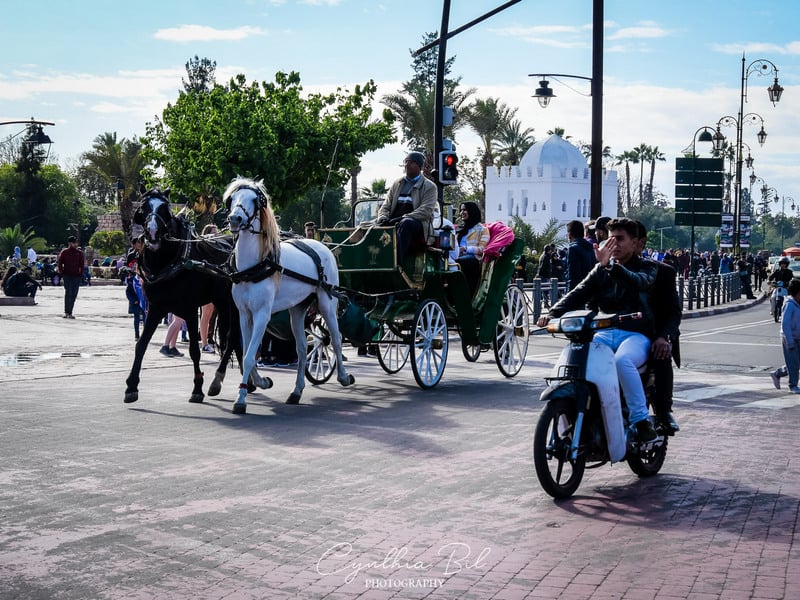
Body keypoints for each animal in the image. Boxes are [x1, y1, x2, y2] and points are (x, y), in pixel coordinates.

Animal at [123, 188, 242, 404]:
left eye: (165, 208)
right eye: (144, 208)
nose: (153, 234)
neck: (170, 261)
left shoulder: (190, 309)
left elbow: (194, 350)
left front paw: (197, 388)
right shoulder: (155, 307)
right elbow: (141, 344)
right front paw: (131, 386)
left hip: (236, 305)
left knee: (234, 337)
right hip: (222, 302)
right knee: (234, 338)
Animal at [223, 176, 352, 414]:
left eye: (254, 200)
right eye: (232, 198)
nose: (234, 218)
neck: (255, 266)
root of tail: (322, 246)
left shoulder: (262, 315)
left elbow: (248, 357)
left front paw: (241, 399)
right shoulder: (245, 315)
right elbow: (247, 354)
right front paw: (261, 382)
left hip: (327, 303)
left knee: (336, 339)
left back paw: (344, 376)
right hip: (298, 309)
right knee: (302, 349)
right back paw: (297, 391)